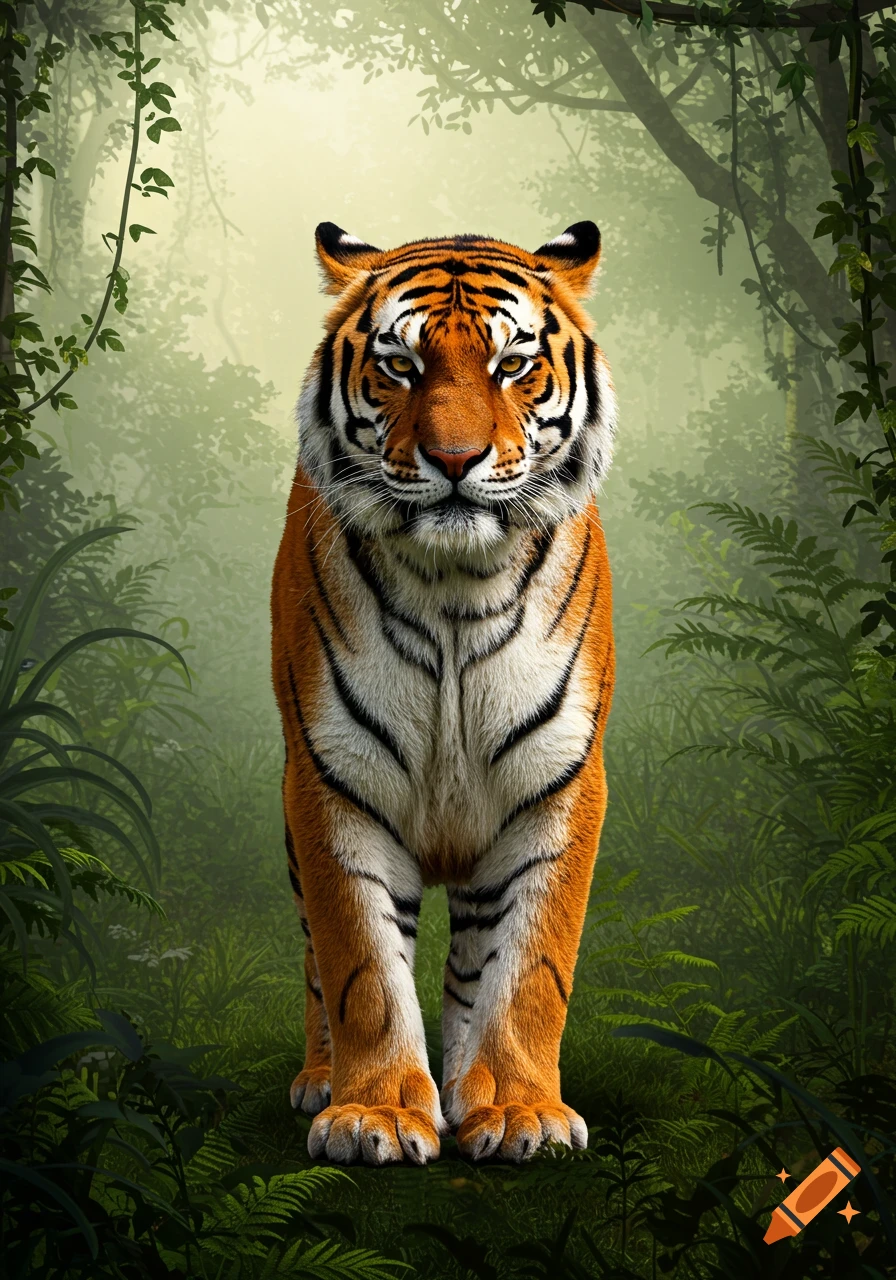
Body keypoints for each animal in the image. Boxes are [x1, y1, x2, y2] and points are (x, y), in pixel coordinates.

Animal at [271, 219, 615, 1167]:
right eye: (400, 366)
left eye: (511, 364)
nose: (455, 460)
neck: (456, 585)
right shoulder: (331, 782)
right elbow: (358, 966)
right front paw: (374, 1114)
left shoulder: (559, 783)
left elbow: (531, 967)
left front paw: (522, 1110)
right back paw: (322, 1079)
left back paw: (468, 1087)